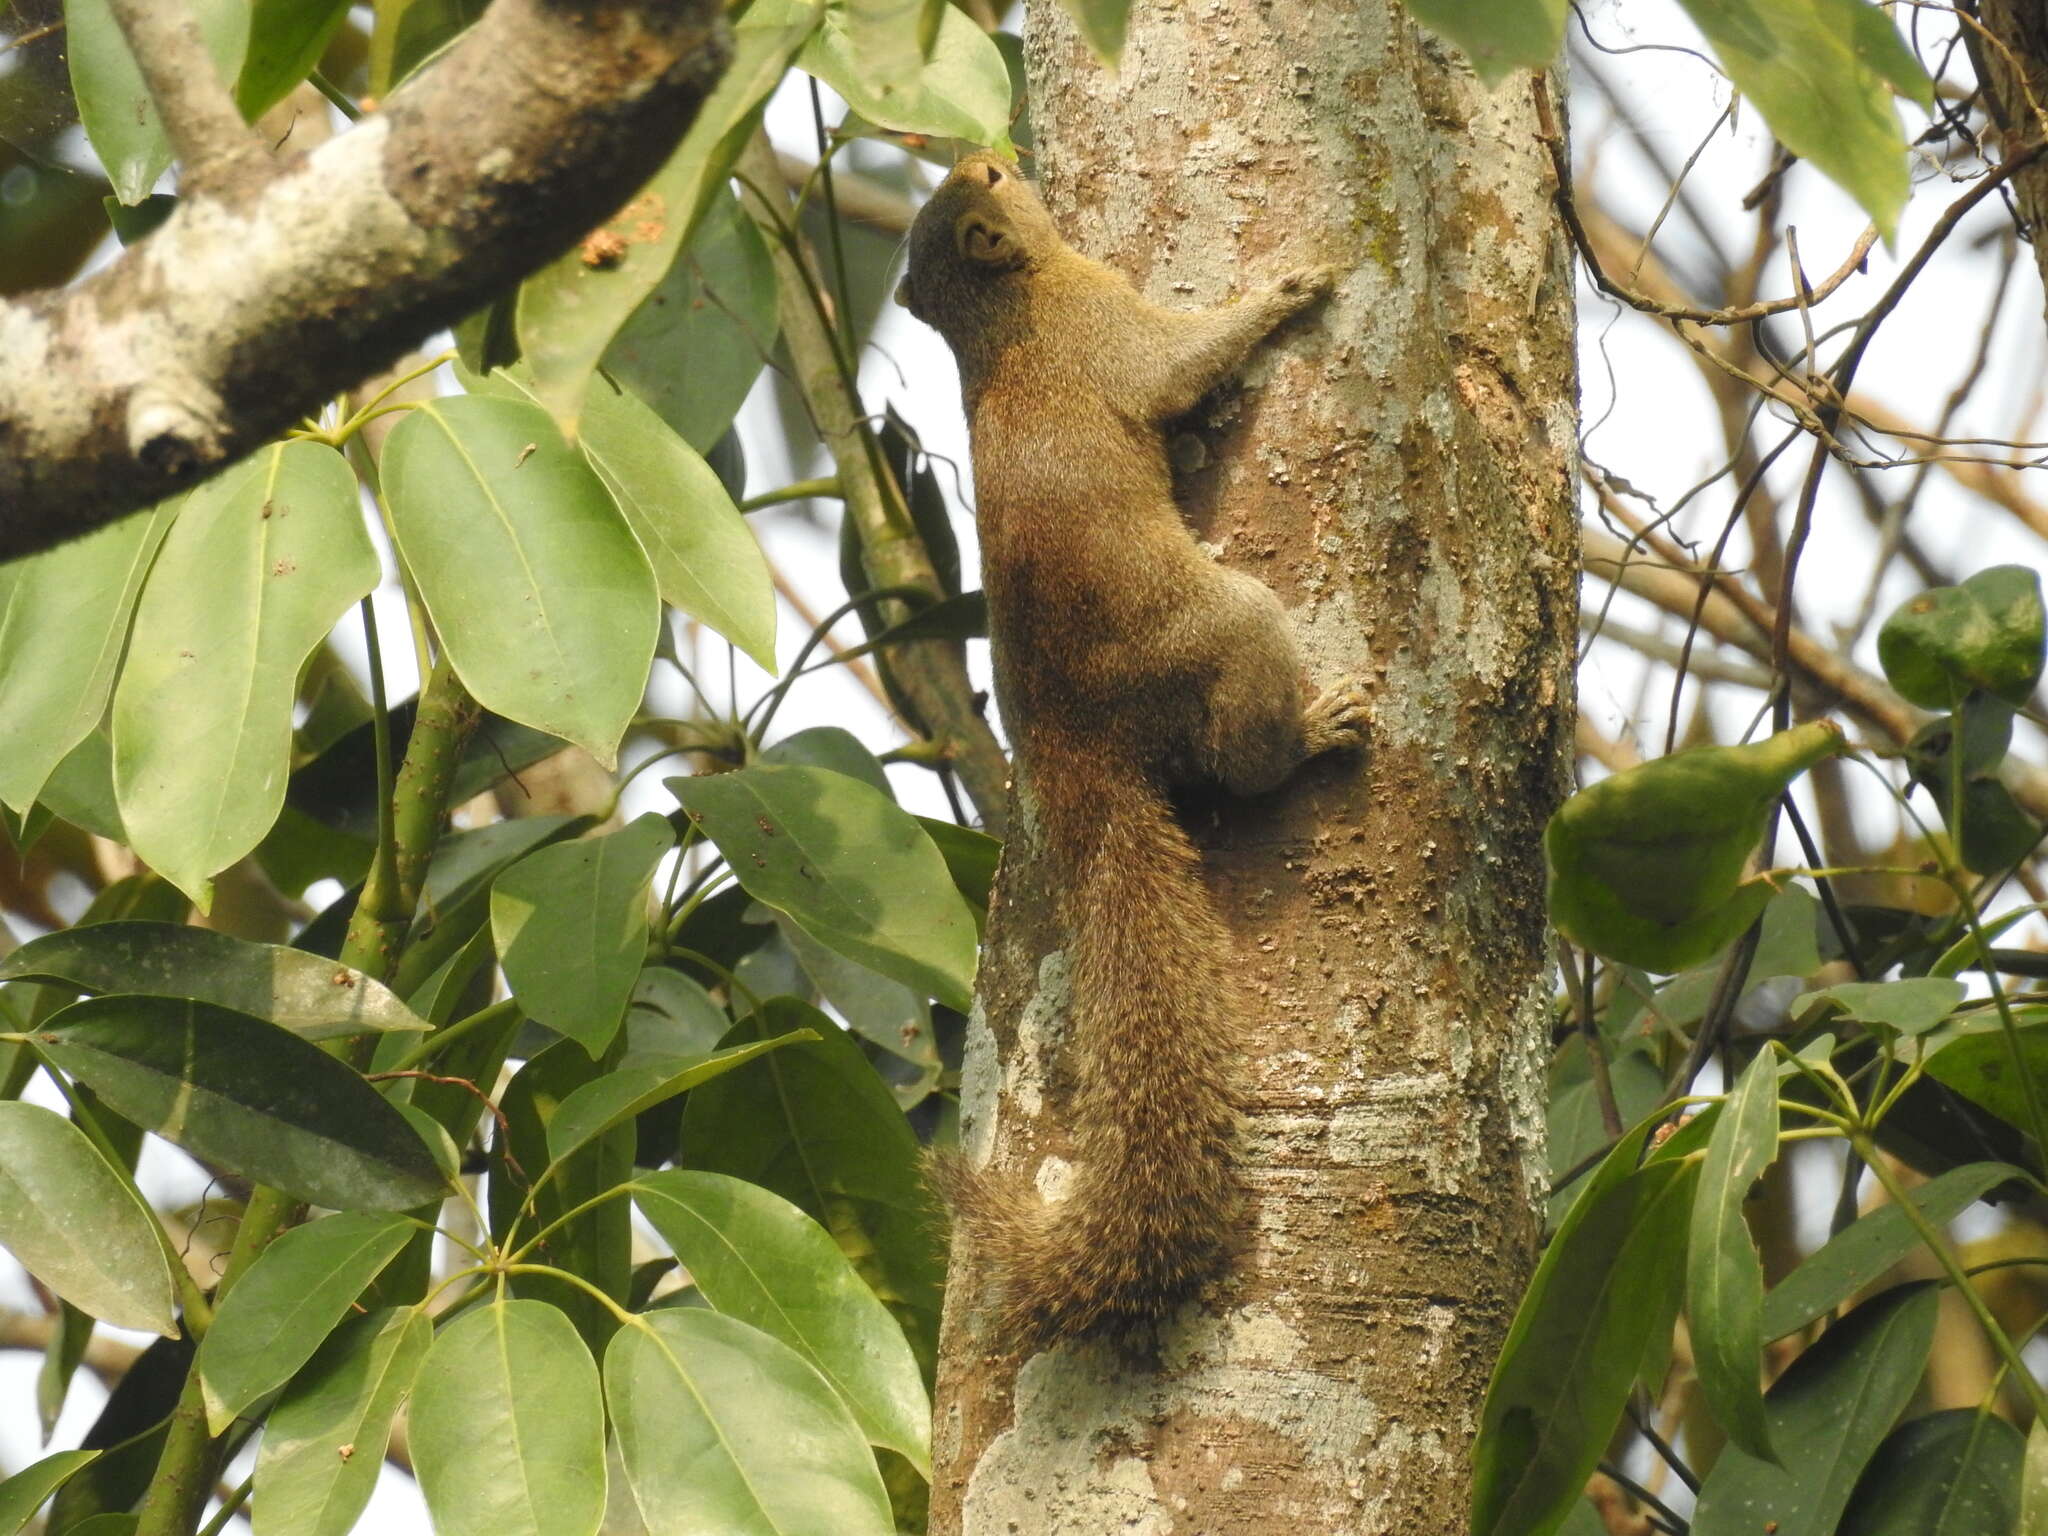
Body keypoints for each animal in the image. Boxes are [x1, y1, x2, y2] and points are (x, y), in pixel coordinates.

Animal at [901, 147, 1368, 1343]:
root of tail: (1073, 741)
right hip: (1224, 627)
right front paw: (1281, 295)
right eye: (990, 179)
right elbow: (1178, 368)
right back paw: (1312, 733)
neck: (1001, 316)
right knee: (1243, 756)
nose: (999, 150)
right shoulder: (1105, 324)